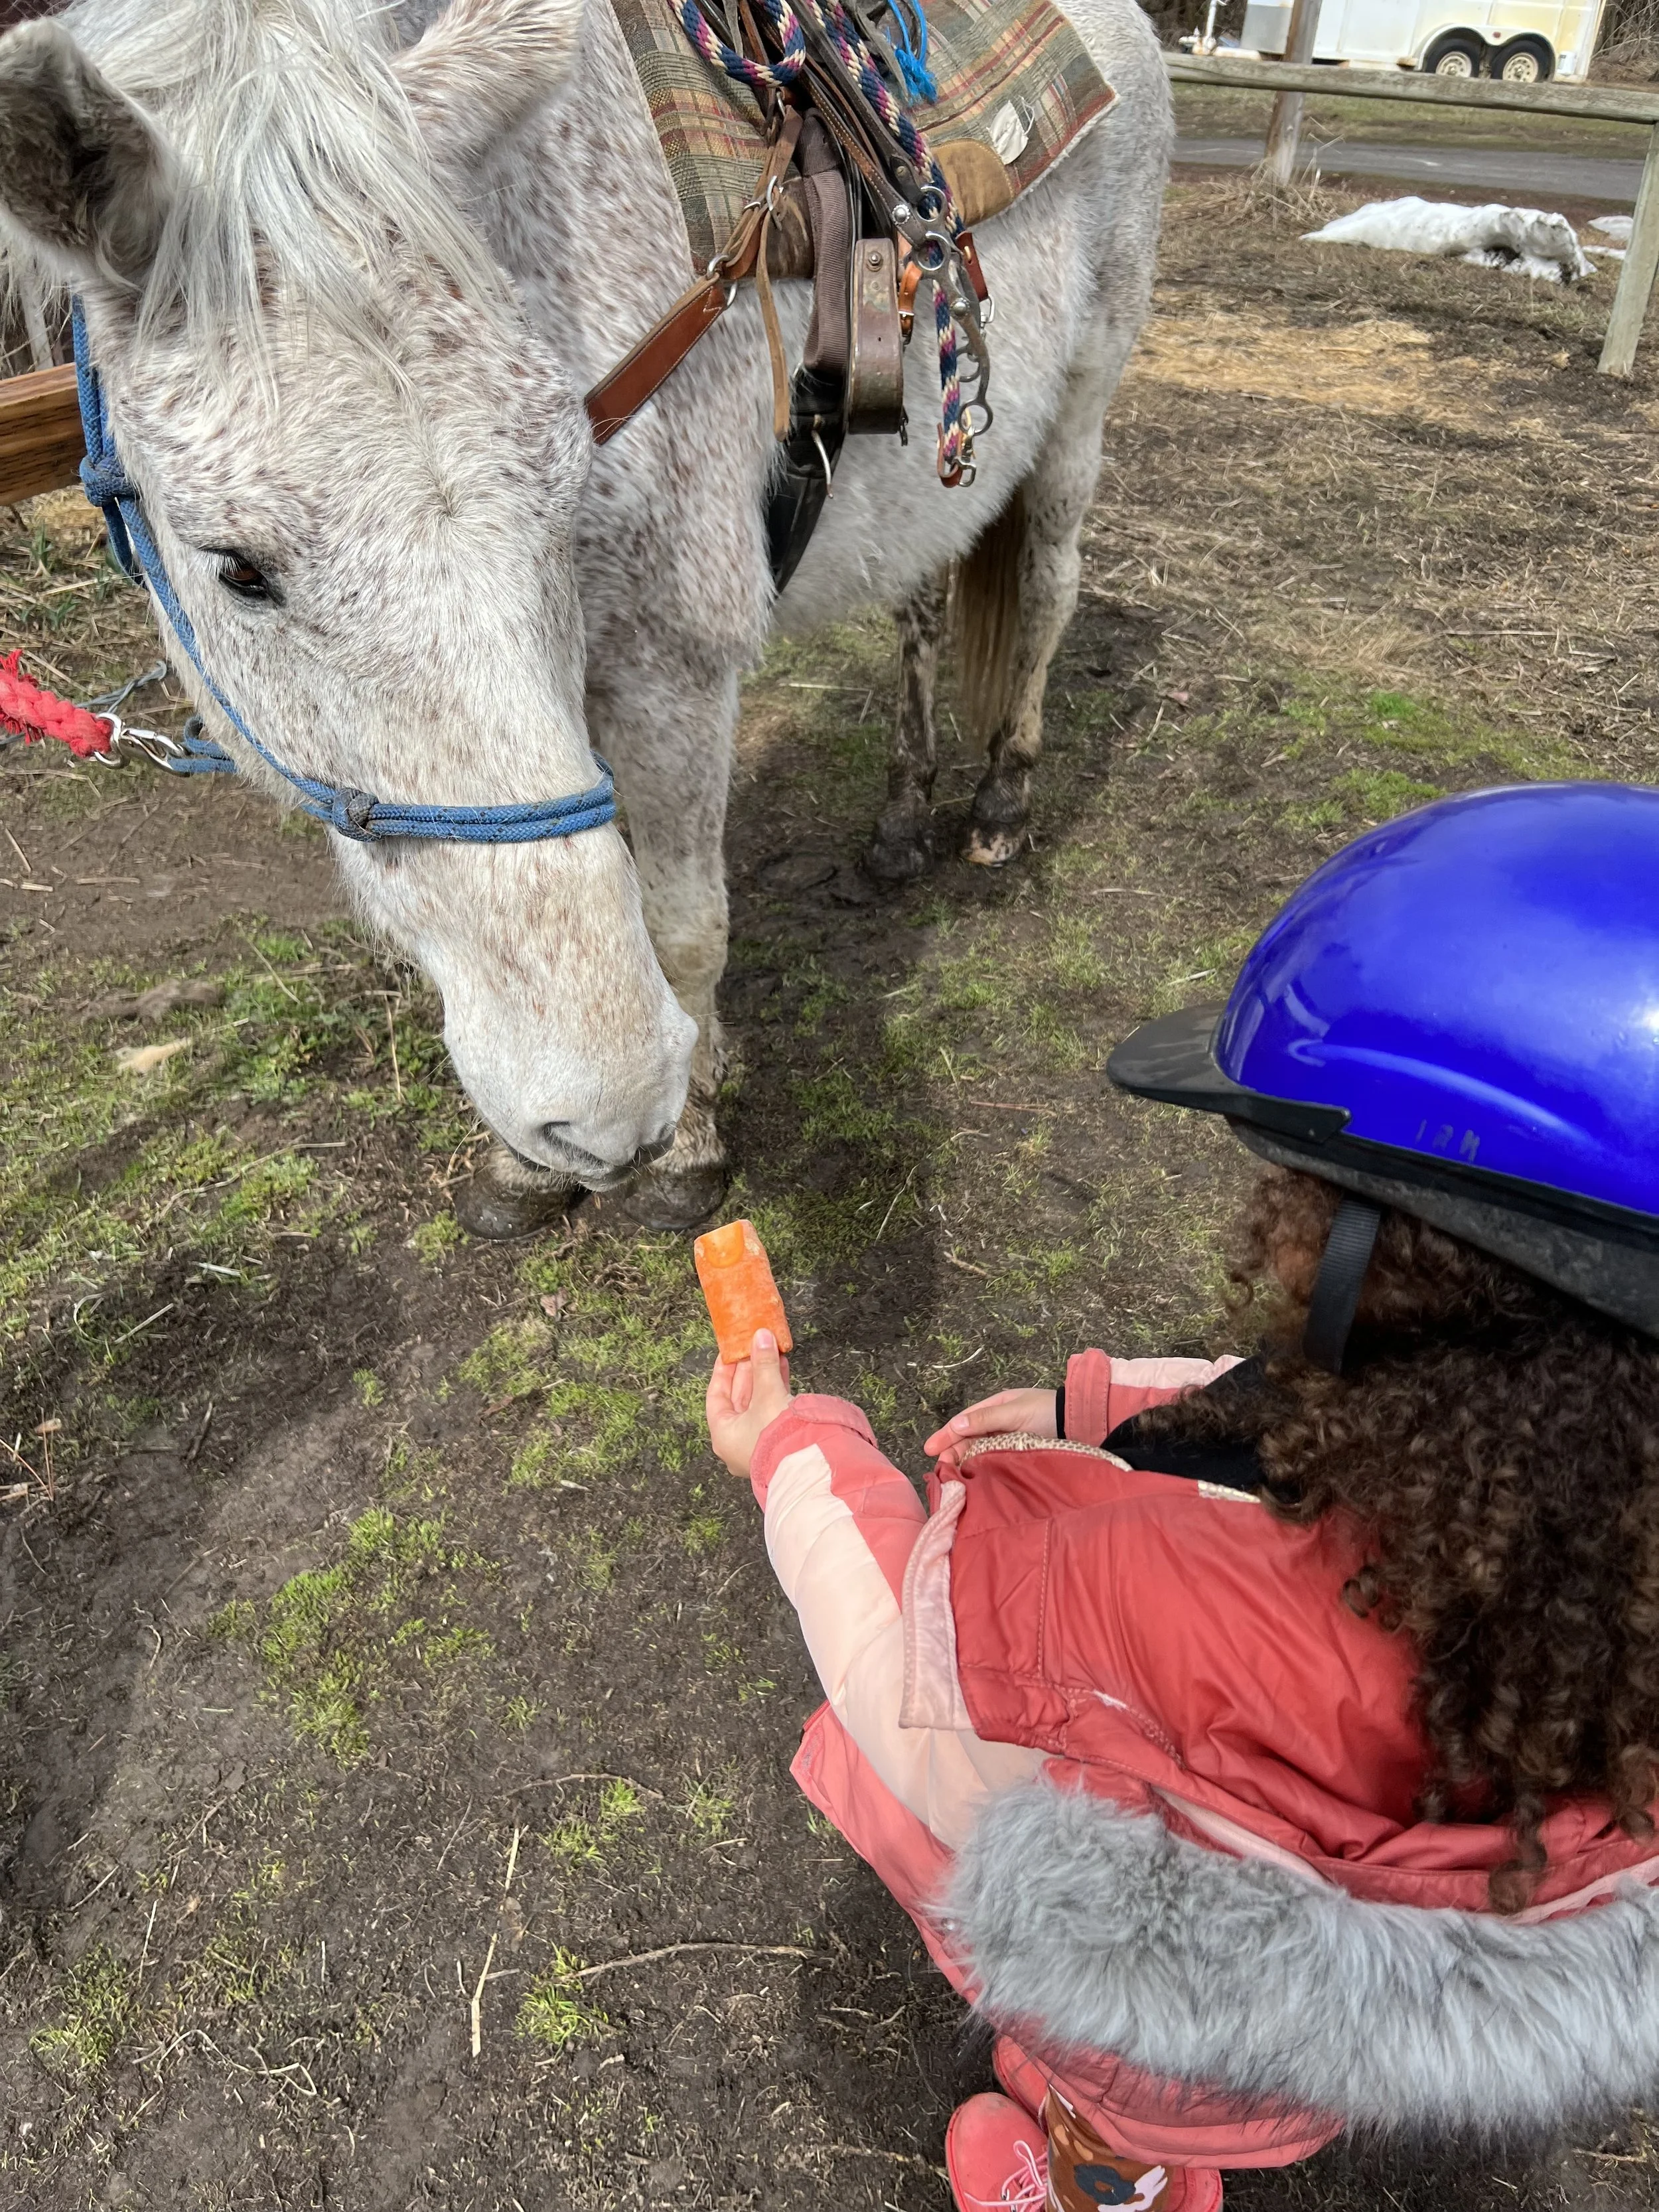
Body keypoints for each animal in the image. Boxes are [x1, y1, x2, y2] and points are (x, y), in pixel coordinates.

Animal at [0, 0, 1170, 1234]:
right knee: (924, 610)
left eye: (562, 488)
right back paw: (902, 820)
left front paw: (689, 1138)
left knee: (1045, 590)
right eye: (237, 570)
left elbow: (682, 928)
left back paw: (1001, 802)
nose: (600, 1110)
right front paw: (542, 1157)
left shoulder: (674, 673)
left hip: (1077, 414)